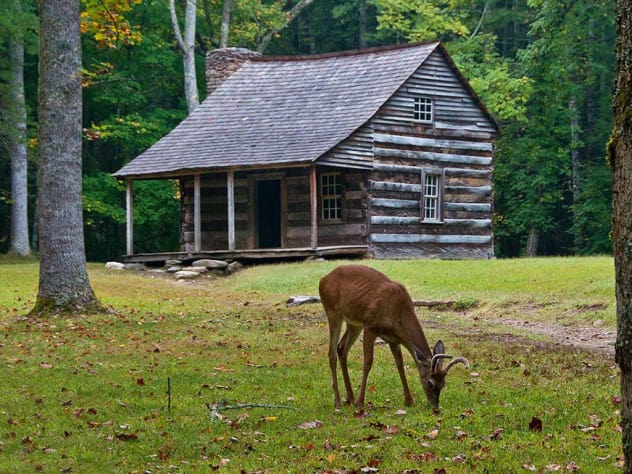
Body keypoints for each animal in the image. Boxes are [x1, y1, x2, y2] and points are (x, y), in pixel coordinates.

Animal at [320, 264, 470, 410]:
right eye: (430, 382)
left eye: (443, 384)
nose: (435, 407)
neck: (397, 313)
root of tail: (323, 279)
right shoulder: (370, 326)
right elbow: (368, 362)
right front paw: (360, 402)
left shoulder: (394, 338)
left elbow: (399, 364)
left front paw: (409, 400)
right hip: (333, 311)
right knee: (331, 354)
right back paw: (338, 402)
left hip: (354, 323)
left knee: (341, 349)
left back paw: (349, 398)